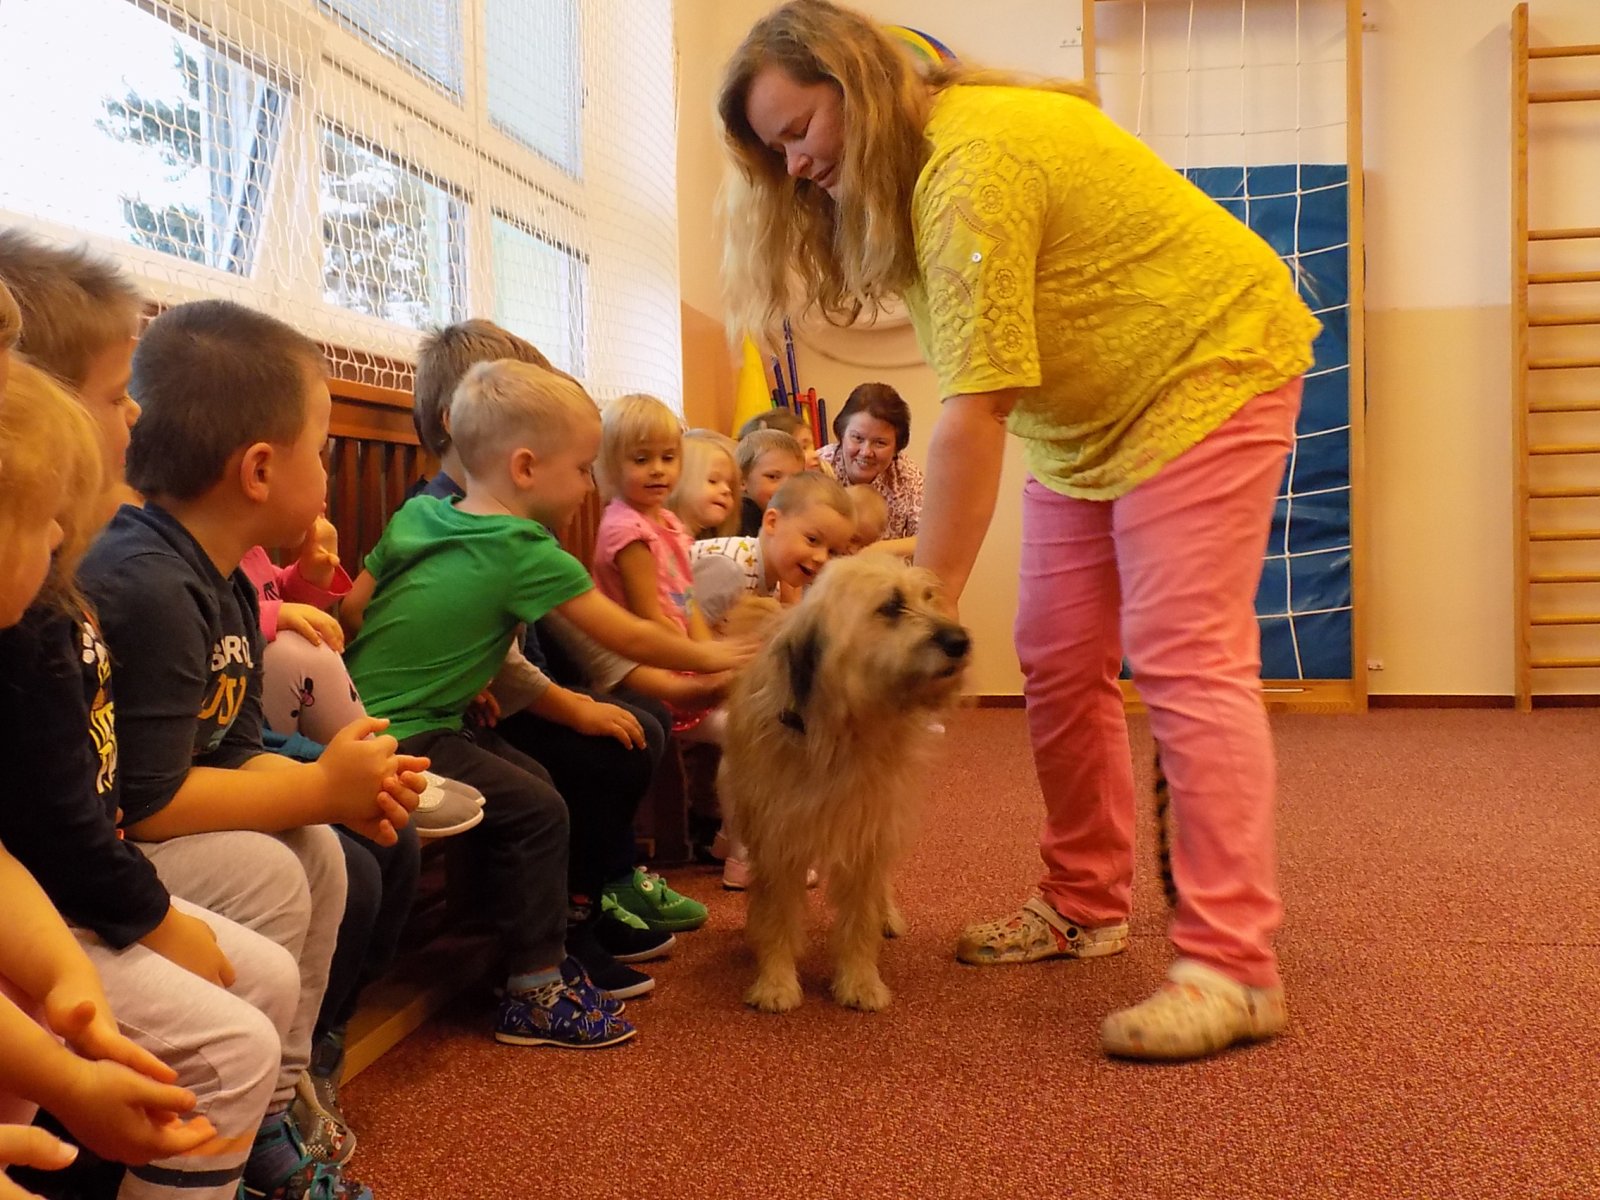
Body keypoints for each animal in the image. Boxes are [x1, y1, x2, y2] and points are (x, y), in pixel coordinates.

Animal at [718, 554, 972, 1013]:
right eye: (891, 606)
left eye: (929, 598)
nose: (961, 641)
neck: (839, 731)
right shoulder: (777, 840)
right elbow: (776, 916)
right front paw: (776, 980)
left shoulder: (865, 832)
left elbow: (859, 919)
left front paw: (859, 980)